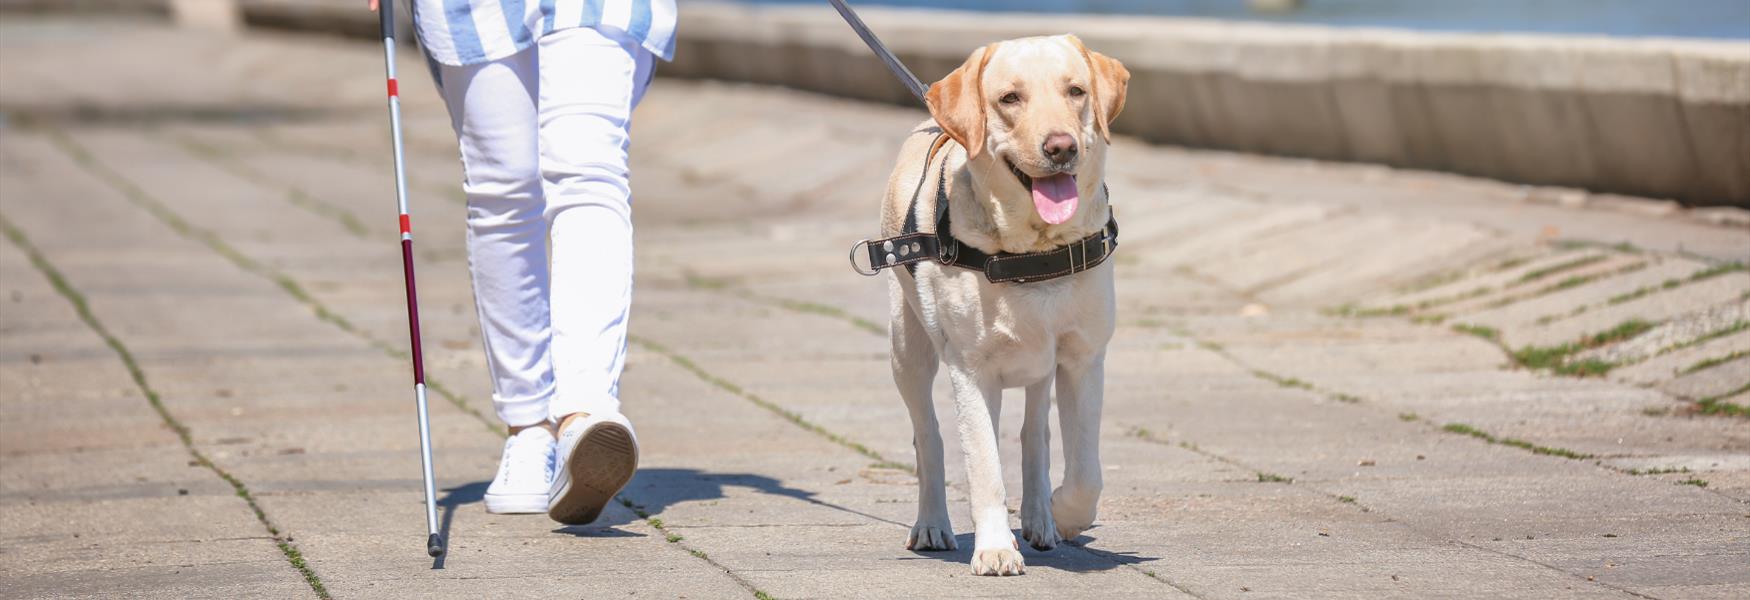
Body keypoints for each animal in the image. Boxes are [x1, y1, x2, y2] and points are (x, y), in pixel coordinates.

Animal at [875, 34, 1134, 577]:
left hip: (1039, 368)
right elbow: (983, 465)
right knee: (929, 436)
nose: (1061, 147)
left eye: (1076, 91)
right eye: (1010, 98)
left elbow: (1086, 469)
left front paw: (1064, 514)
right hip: (907, 348)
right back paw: (933, 524)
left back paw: (1039, 518)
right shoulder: (971, 369)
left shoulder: (1084, 359)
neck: (1032, 253)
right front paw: (995, 547)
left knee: (1034, 433)